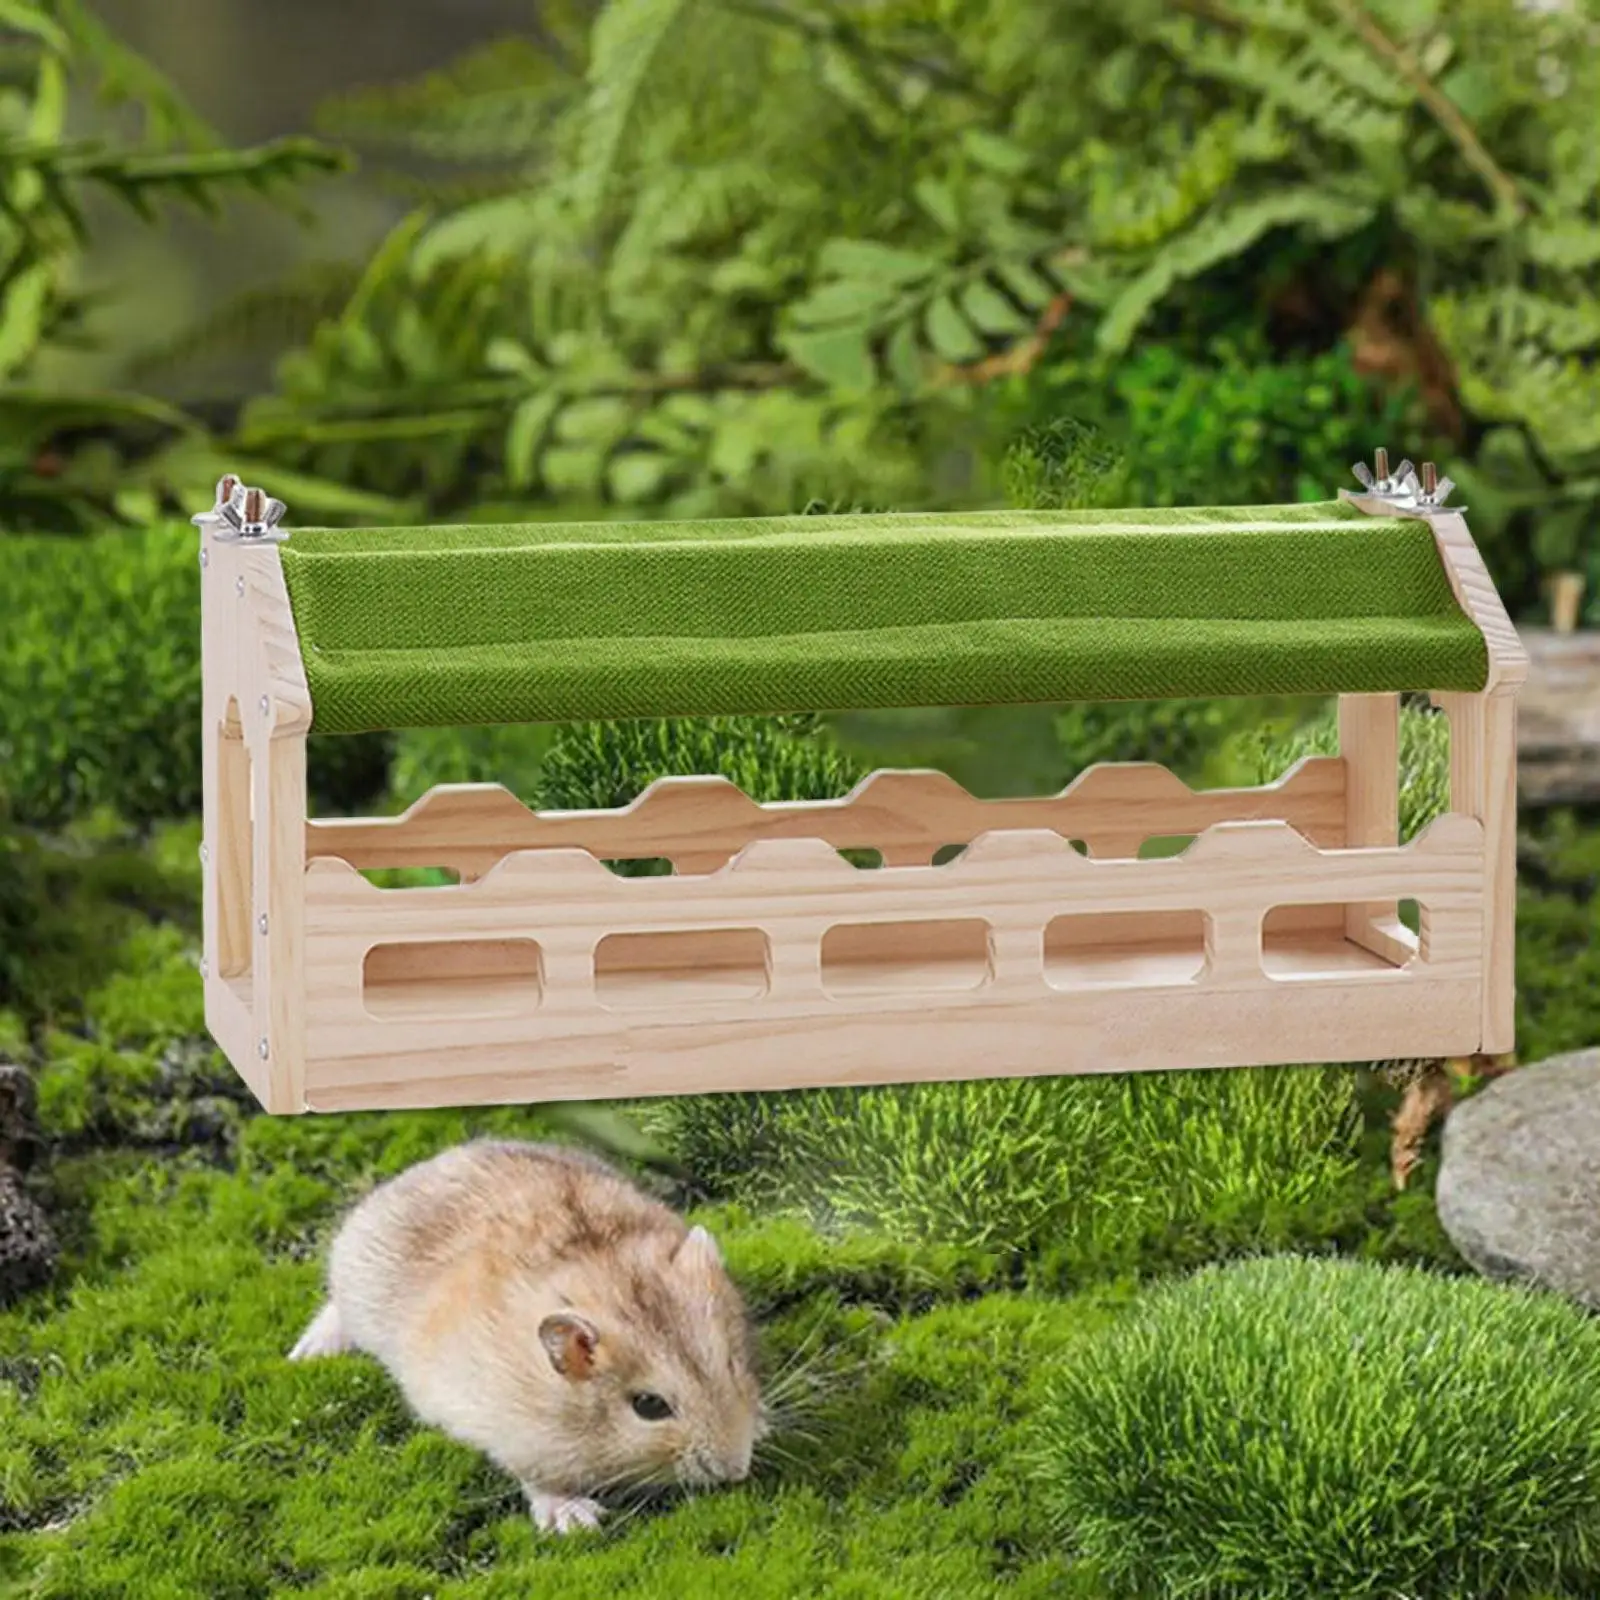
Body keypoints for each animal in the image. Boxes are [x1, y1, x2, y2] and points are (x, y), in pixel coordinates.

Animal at [288, 1138, 767, 1534]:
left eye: (731, 1363)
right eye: (649, 1406)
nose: (738, 1470)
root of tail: (429, 1164)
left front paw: (760, 1423)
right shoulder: (512, 1433)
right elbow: (538, 1478)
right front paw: (577, 1521)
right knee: (335, 1308)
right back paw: (308, 1354)